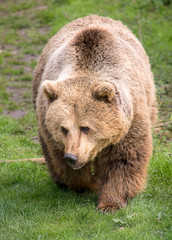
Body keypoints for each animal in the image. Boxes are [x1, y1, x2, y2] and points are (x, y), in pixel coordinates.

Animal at [32, 14, 157, 212]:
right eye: (63, 128)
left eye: (86, 127)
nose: (72, 156)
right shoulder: (53, 132)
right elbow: (65, 164)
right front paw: (89, 185)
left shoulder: (130, 118)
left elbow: (123, 160)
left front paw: (110, 203)